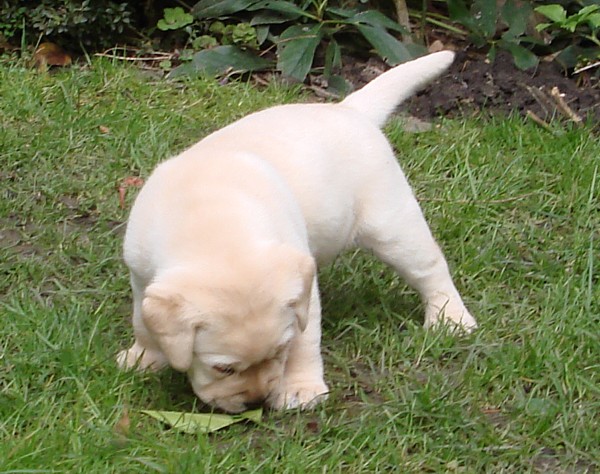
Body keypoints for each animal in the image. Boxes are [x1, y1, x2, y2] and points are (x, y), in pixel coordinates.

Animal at [118, 51, 478, 412]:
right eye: (223, 368)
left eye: (279, 351)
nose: (256, 402)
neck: (212, 221)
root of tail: (350, 109)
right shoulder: (142, 277)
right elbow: (142, 322)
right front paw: (144, 358)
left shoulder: (303, 295)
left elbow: (304, 341)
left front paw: (300, 388)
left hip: (392, 225)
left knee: (431, 270)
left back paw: (451, 319)